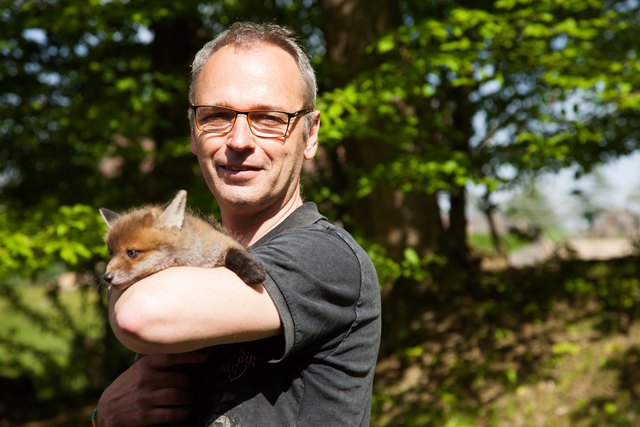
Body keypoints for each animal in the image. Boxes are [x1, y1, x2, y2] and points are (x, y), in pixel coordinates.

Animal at [99, 189, 266, 290]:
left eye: (132, 253)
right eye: (111, 253)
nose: (107, 278)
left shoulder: (224, 242)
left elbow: (235, 255)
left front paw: (252, 270)